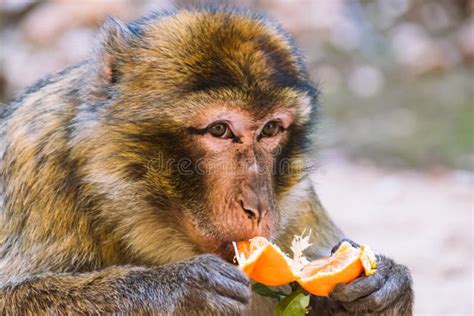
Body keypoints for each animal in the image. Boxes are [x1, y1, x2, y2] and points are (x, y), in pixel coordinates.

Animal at [0, 6, 412, 314]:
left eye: (270, 129)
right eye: (219, 130)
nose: (258, 206)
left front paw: (383, 289)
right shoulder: (35, 160)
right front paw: (180, 290)